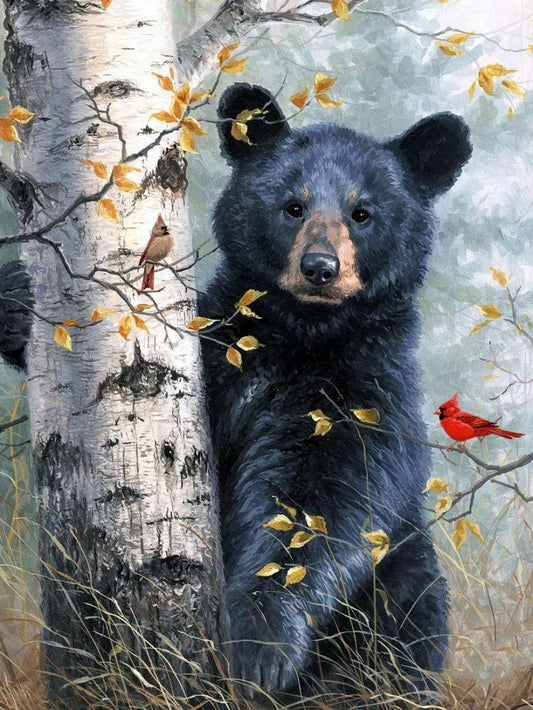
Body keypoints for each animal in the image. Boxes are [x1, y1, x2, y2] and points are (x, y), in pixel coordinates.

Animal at [198, 83, 472, 702]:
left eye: (362, 212)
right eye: (292, 205)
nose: (319, 267)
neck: (300, 333)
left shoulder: (361, 394)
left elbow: (323, 501)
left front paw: (260, 643)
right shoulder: (222, 345)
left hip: (402, 599)